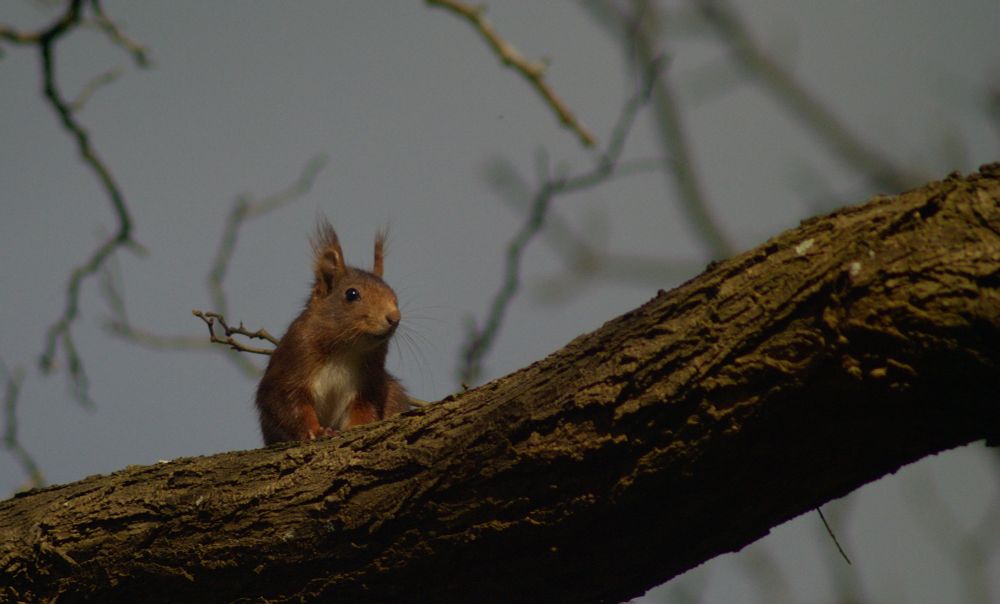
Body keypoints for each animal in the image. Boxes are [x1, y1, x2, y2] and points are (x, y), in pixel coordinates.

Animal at [255, 218, 410, 445]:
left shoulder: (369, 384)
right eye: (351, 294)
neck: (345, 350)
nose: (394, 318)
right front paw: (316, 431)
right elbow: (287, 403)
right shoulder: (294, 358)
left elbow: (365, 409)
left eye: (394, 295)